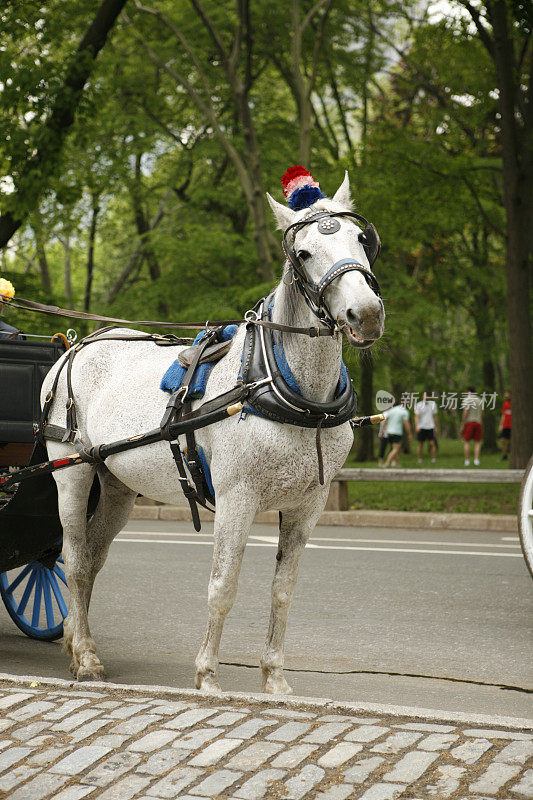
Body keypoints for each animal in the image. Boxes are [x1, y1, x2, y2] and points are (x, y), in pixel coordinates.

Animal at [41, 172, 382, 692]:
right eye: (303, 253)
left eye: (361, 240)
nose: (366, 314)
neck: (285, 387)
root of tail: (75, 345)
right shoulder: (237, 497)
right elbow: (223, 587)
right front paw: (207, 677)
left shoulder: (308, 505)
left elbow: (283, 591)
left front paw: (274, 680)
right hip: (72, 474)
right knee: (75, 560)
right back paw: (85, 656)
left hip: (117, 485)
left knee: (93, 559)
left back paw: (77, 640)